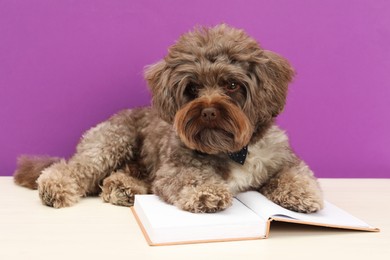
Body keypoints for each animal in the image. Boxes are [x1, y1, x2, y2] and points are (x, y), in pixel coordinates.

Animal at [13, 23, 322, 213]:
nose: (208, 110)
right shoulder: (176, 168)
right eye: (192, 88)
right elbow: (192, 180)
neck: (232, 149)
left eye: (232, 85)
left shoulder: (282, 159)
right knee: (76, 168)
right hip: (113, 141)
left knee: (118, 177)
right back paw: (55, 187)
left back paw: (123, 188)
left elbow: (296, 175)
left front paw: (303, 194)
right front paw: (207, 193)